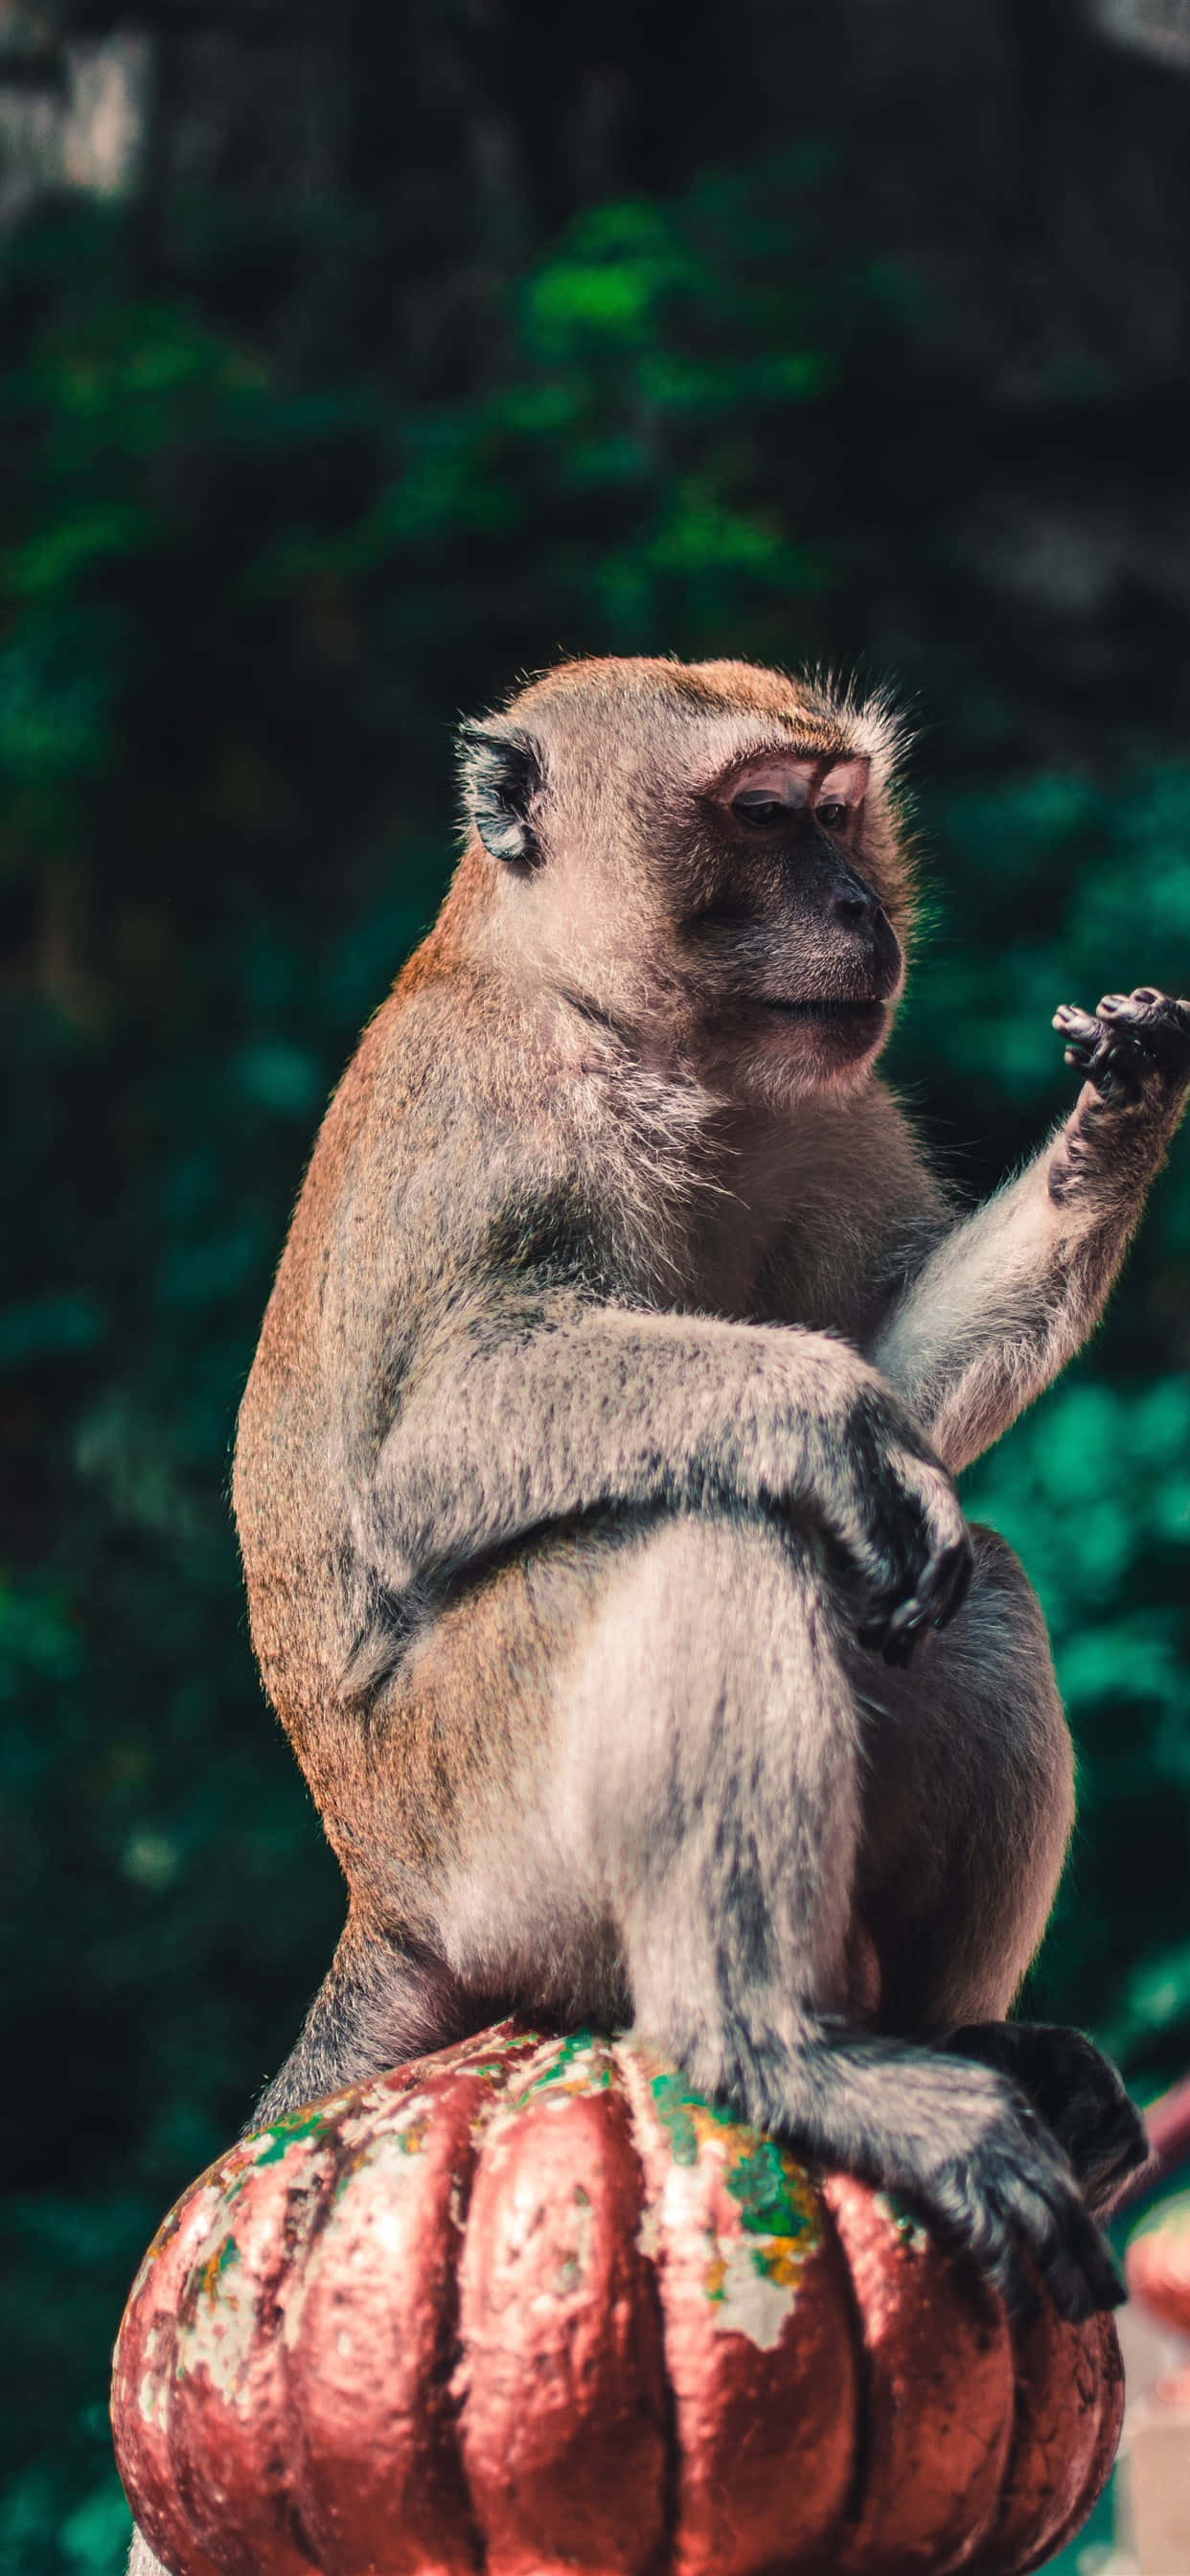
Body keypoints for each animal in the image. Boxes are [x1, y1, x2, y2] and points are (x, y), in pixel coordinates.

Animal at [130, 652, 1189, 2576]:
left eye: (840, 817)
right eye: (760, 819)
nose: (858, 913)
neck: (629, 1031)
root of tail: (378, 1894)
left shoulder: (832, 1102)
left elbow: (909, 1412)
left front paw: (1111, 1116)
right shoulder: (511, 1125)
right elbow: (435, 1445)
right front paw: (814, 1412)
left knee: (960, 1583)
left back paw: (953, 2042)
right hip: (483, 1820)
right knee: (712, 1534)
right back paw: (766, 2044)